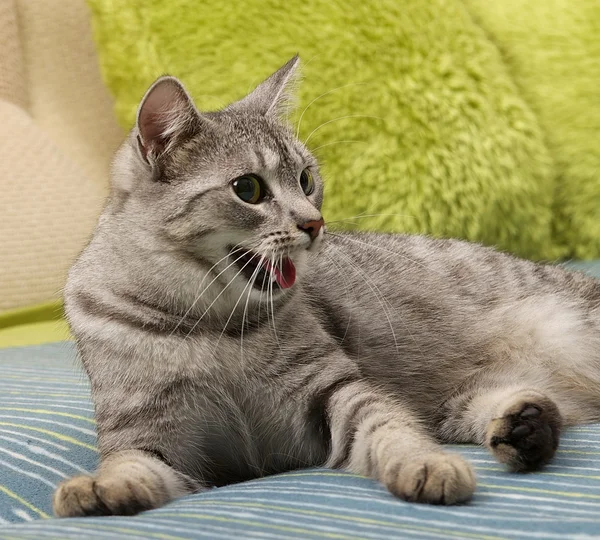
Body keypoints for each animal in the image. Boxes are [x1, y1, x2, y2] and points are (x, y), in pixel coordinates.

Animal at [52, 57, 600, 516]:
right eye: (248, 189)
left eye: (305, 178)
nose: (315, 223)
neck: (216, 328)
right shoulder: (152, 435)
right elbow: (129, 464)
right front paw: (98, 488)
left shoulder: (333, 389)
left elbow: (391, 429)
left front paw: (425, 464)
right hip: (466, 401)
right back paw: (526, 426)